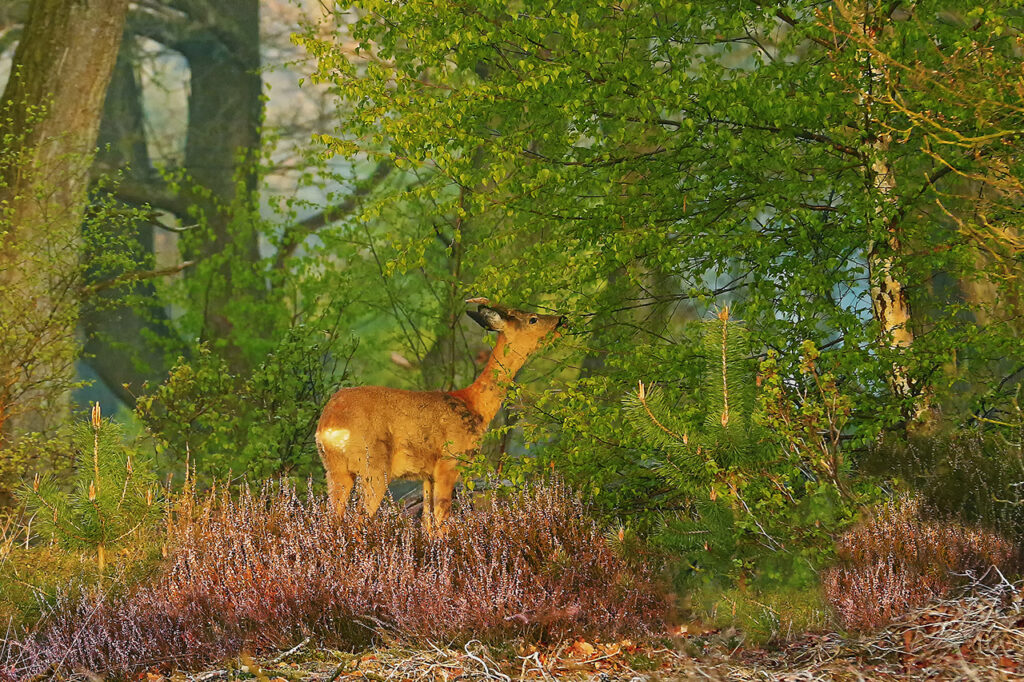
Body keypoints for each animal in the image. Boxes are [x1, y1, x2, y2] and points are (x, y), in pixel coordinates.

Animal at [315, 296, 565, 532]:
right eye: (533, 318)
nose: (562, 319)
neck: (474, 405)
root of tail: (328, 425)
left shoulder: (428, 474)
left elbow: (428, 524)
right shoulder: (449, 461)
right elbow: (442, 522)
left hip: (335, 470)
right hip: (373, 466)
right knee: (358, 521)